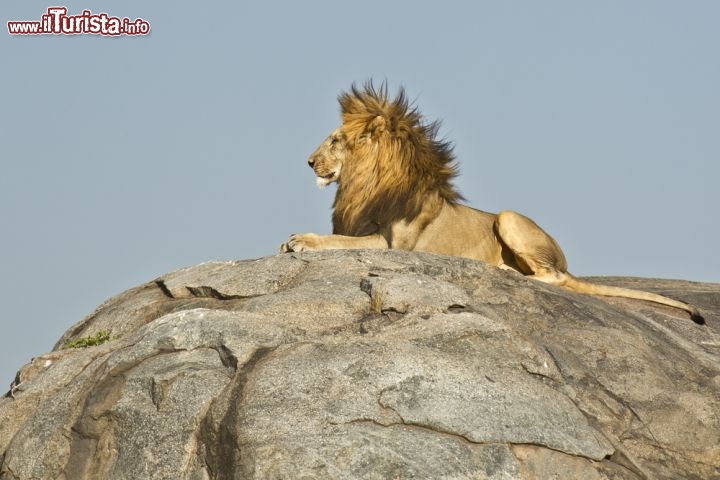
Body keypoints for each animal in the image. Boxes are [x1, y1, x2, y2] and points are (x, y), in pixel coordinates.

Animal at [280, 82, 704, 324]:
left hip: (508, 217)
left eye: (336, 140)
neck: (363, 184)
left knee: (554, 277)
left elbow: (337, 242)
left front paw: (300, 241)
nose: (308, 161)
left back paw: (508, 272)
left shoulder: (390, 244)